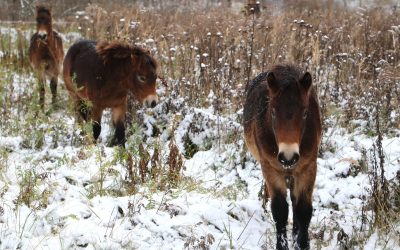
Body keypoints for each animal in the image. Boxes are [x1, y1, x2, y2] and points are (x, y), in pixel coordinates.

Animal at [242, 65, 320, 250]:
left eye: (305, 113)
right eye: (274, 112)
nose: (288, 157)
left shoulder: (307, 168)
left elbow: (303, 210)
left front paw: (302, 244)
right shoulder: (271, 169)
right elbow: (280, 210)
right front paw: (283, 245)